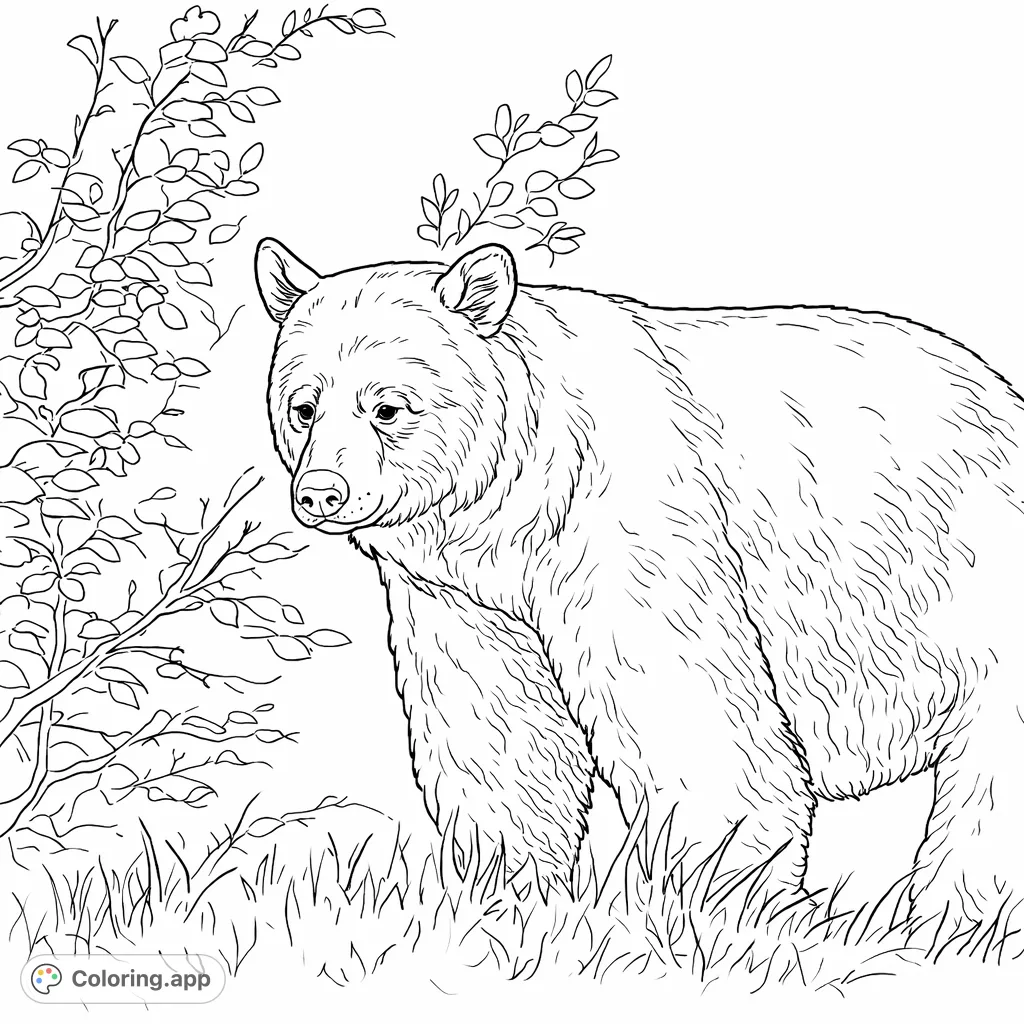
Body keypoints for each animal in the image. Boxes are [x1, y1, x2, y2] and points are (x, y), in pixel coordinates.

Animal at [255, 237, 1024, 925]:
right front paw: (504, 885)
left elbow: (684, 704)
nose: (320, 493)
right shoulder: (462, 596)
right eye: (303, 405)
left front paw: (715, 892)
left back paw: (959, 916)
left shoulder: (632, 527)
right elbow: (495, 723)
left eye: (388, 406)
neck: (519, 501)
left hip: (966, 572)